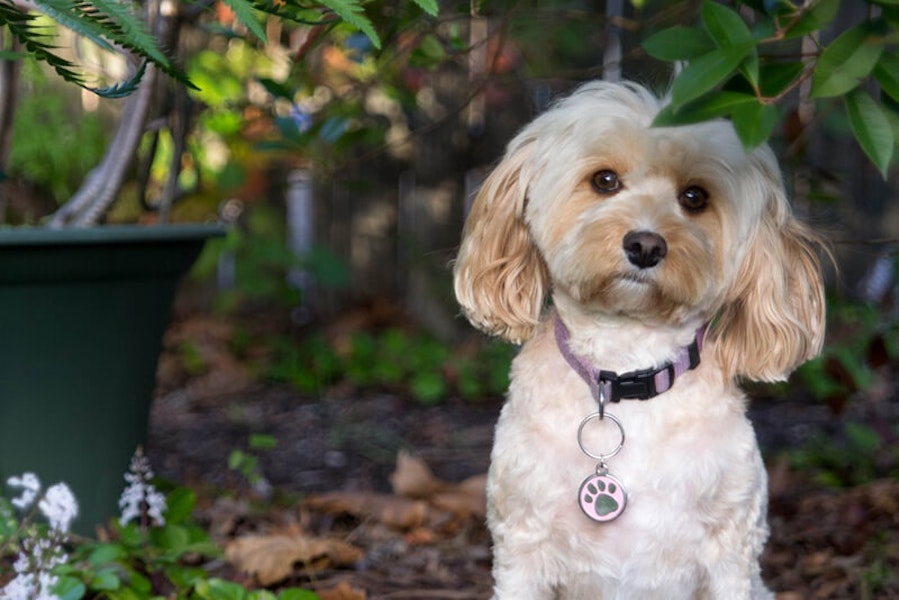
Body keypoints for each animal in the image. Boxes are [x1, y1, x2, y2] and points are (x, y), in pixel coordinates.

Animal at [454, 81, 828, 600]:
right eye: (605, 181)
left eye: (695, 196)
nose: (646, 246)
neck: (628, 367)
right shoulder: (522, 545)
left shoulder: (731, 551)